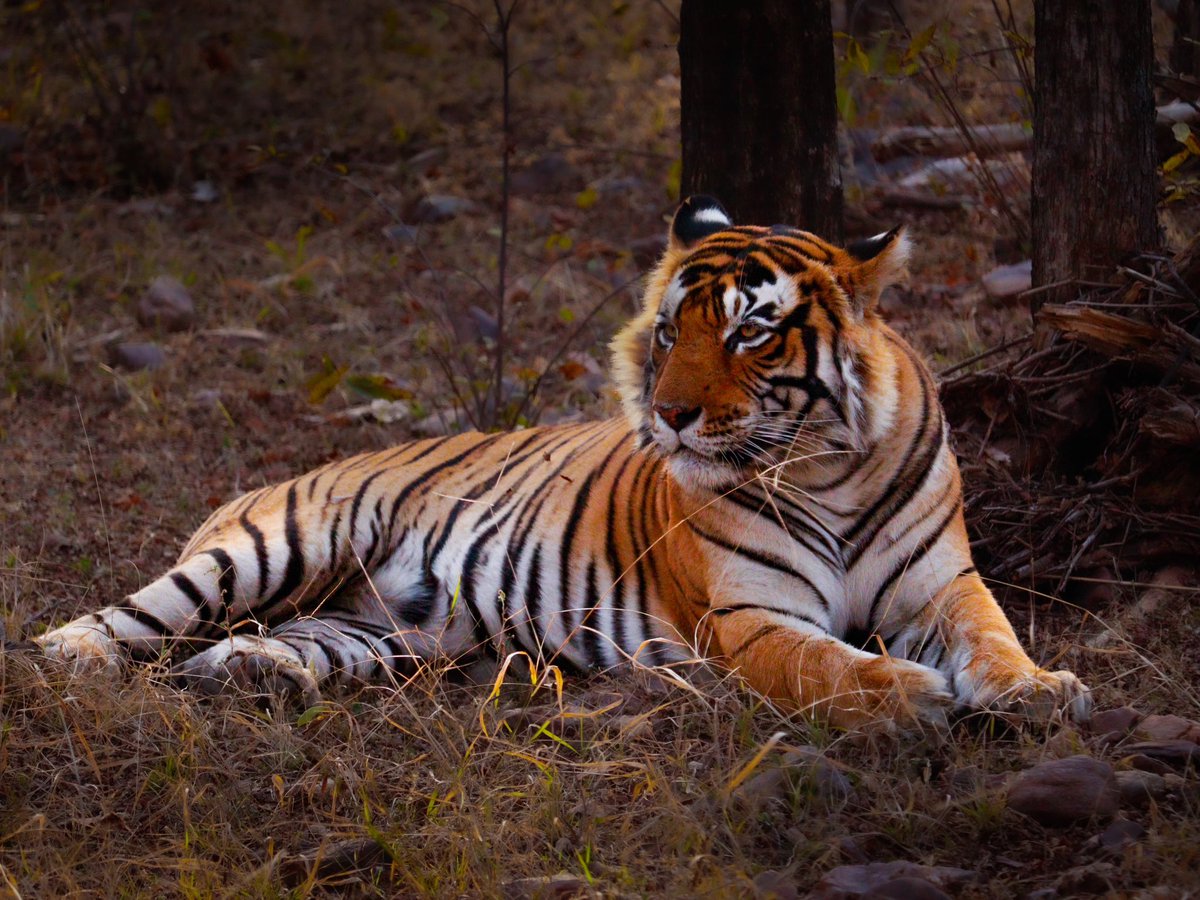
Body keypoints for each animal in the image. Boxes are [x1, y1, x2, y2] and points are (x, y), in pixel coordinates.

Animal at [35, 195, 1091, 729]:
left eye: (748, 331)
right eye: (669, 331)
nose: (668, 416)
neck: (828, 467)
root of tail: (256, 485)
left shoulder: (942, 585)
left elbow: (994, 636)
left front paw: (1038, 691)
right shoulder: (751, 615)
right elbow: (823, 665)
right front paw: (910, 695)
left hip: (383, 631)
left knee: (266, 644)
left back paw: (246, 676)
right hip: (273, 547)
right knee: (116, 621)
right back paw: (71, 665)